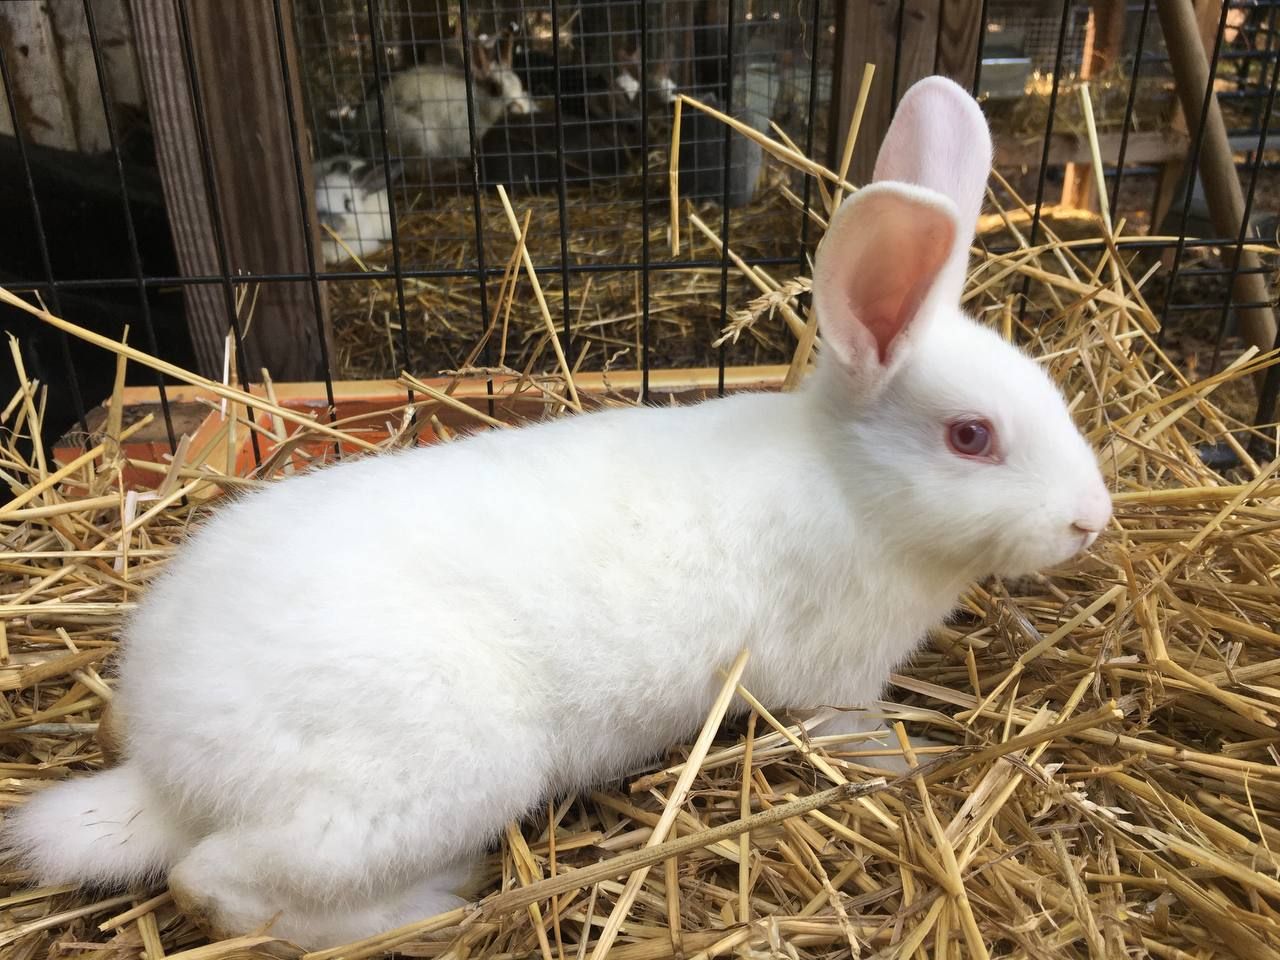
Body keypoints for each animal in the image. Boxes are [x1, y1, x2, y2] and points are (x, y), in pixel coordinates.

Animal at [1, 77, 1112, 950]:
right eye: (970, 436)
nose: (1091, 519)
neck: (847, 483)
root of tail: (165, 773)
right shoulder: (834, 683)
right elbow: (858, 739)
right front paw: (910, 762)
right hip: (442, 772)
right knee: (217, 886)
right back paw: (432, 905)